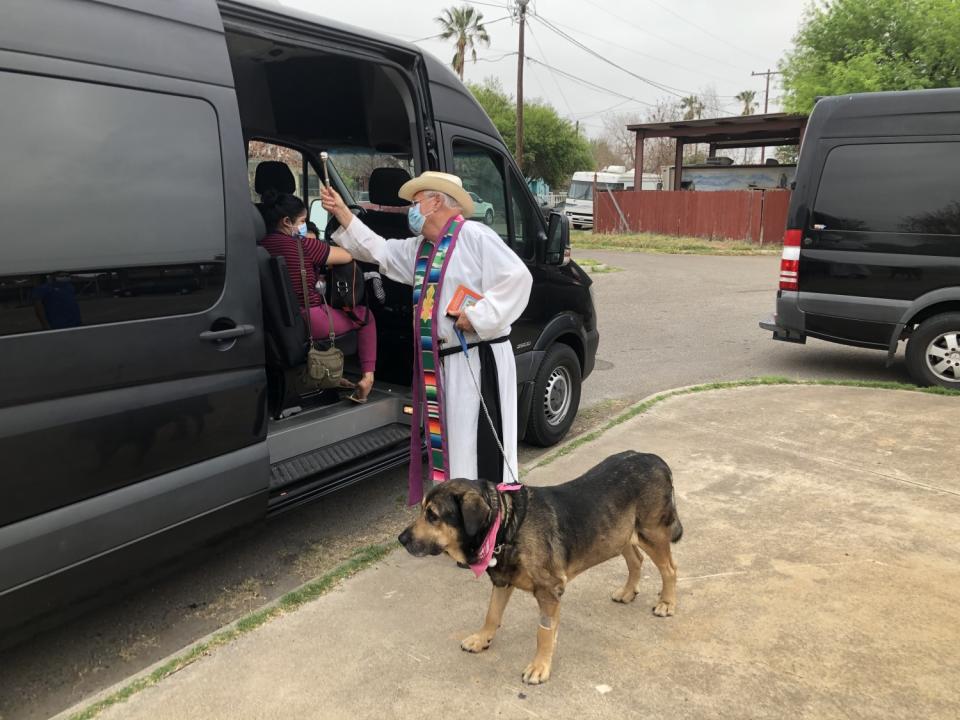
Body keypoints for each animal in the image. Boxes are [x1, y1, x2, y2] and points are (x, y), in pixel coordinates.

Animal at [398, 452, 684, 684]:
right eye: (422, 510)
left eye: (433, 516)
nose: (401, 539)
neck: (505, 526)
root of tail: (657, 460)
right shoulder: (502, 581)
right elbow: (491, 614)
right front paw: (482, 639)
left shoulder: (549, 591)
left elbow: (543, 632)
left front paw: (540, 666)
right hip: (617, 534)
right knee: (635, 559)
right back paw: (628, 591)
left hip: (651, 532)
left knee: (670, 568)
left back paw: (667, 602)